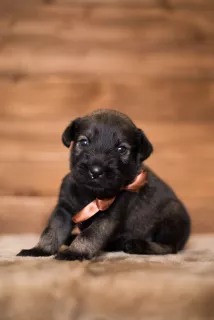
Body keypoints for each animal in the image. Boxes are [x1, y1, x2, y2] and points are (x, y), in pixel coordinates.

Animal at [17, 110, 191, 260]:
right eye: (84, 142)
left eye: (121, 149)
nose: (96, 171)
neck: (90, 193)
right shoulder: (63, 210)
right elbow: (52, 230)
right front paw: (39, 250)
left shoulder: (108, 217)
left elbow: (89, 235)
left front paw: (75, 252)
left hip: (172, 213)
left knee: (169, 247)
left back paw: (137, 245)